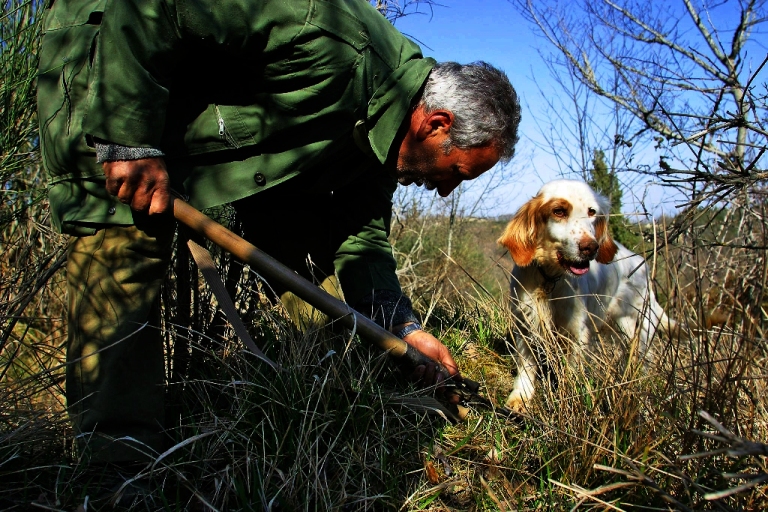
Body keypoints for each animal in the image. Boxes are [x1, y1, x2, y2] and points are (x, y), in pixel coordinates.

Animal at [498, 180, 672, 412]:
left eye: (592, 212)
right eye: (559, 211)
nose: (590, 247)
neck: (549, 279)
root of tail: (642, 266)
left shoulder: (577, 334)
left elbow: (571, 373)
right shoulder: (525, 324)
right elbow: (526, 367)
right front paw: (520, 397)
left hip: (635, 329)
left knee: (642, 363)